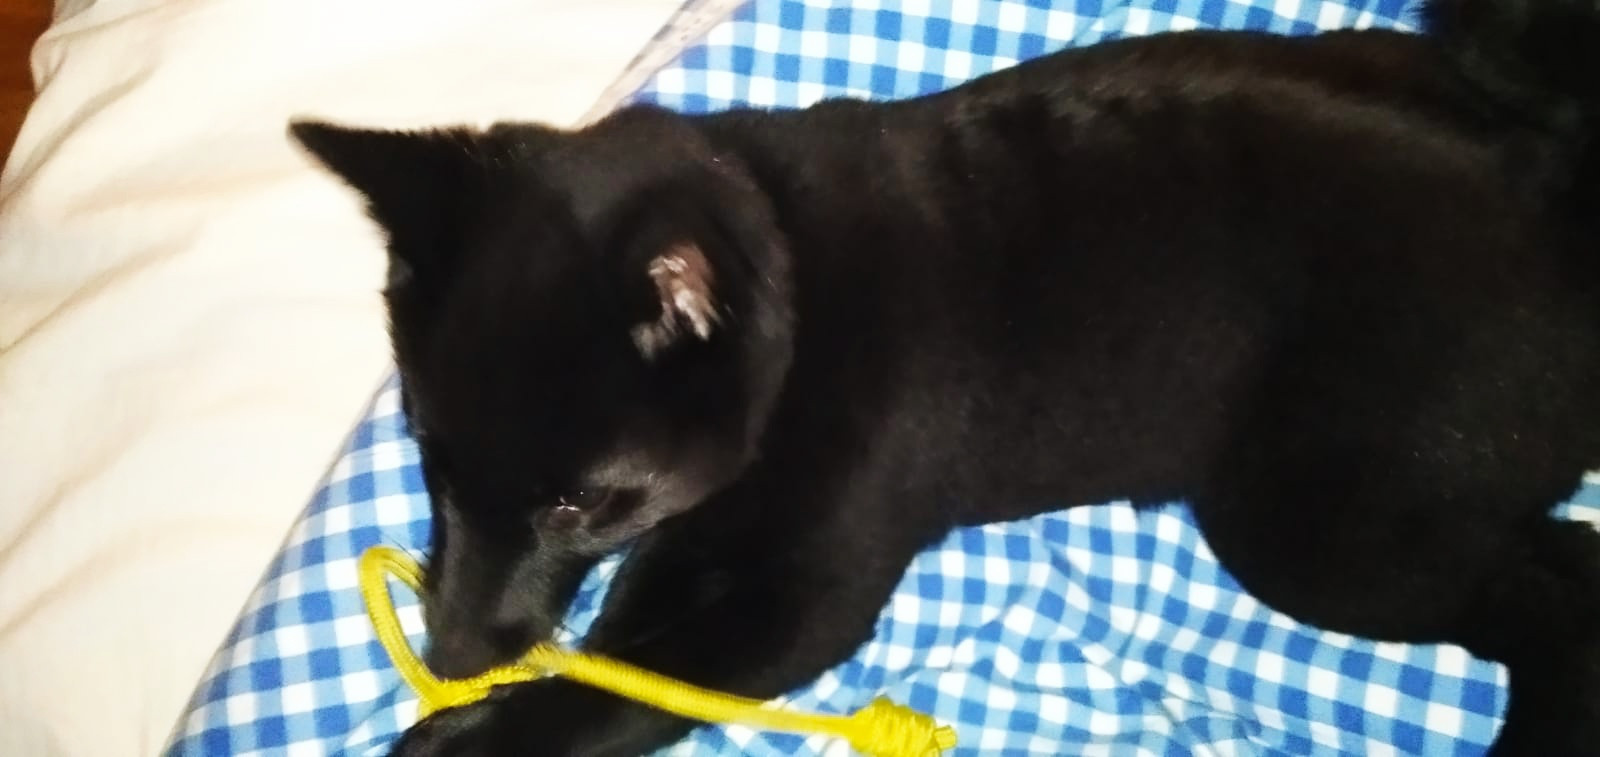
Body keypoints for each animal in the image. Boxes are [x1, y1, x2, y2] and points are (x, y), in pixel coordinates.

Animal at [292, 0, 1600, 753]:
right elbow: (628, 631)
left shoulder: (811, 592)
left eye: (578, 500)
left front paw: (476, 735)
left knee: (1553, 595)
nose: (450, 657)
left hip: (1312, 521)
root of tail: (1550, 195)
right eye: (426, 459)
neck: (798, 299)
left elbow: (633, 685)